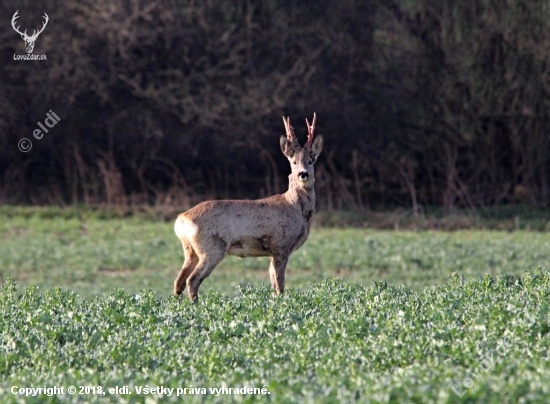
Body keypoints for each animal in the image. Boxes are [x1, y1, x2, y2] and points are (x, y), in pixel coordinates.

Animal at [175, 113, 326, 300]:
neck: (295, 207)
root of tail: (182, 219)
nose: (303, 174)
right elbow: (280, 286)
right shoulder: (280, 245)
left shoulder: (271, 252)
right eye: (294, 161)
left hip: (190, 250)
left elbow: (273, 284)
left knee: (179, 282)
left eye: (311, 161)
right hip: (212, 247)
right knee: (192, 280)